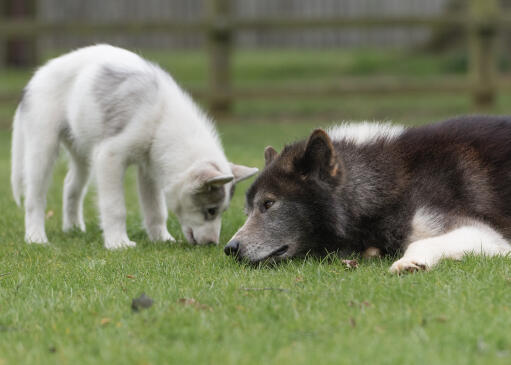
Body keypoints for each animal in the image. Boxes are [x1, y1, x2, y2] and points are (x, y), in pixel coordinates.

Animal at [11, 44, 260, 249]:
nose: (212, 244)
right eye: (211, 210)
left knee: (71, 186)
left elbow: (156, 210)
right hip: (43, 147)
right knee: (35, 196)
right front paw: (118, 243)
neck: (161, 119)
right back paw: (36, 237)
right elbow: (115, 207)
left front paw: (162, 238)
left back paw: (72, 228)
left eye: (221, 211)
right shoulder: (110, 157)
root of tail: (37, 76)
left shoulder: (148, 168)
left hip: (81, 152)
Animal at [226, 115, 511, 272]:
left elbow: (419, 242)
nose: (230, 248)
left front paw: (411, 262)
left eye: (268, 203)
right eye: (248, 210)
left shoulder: (484, 234)